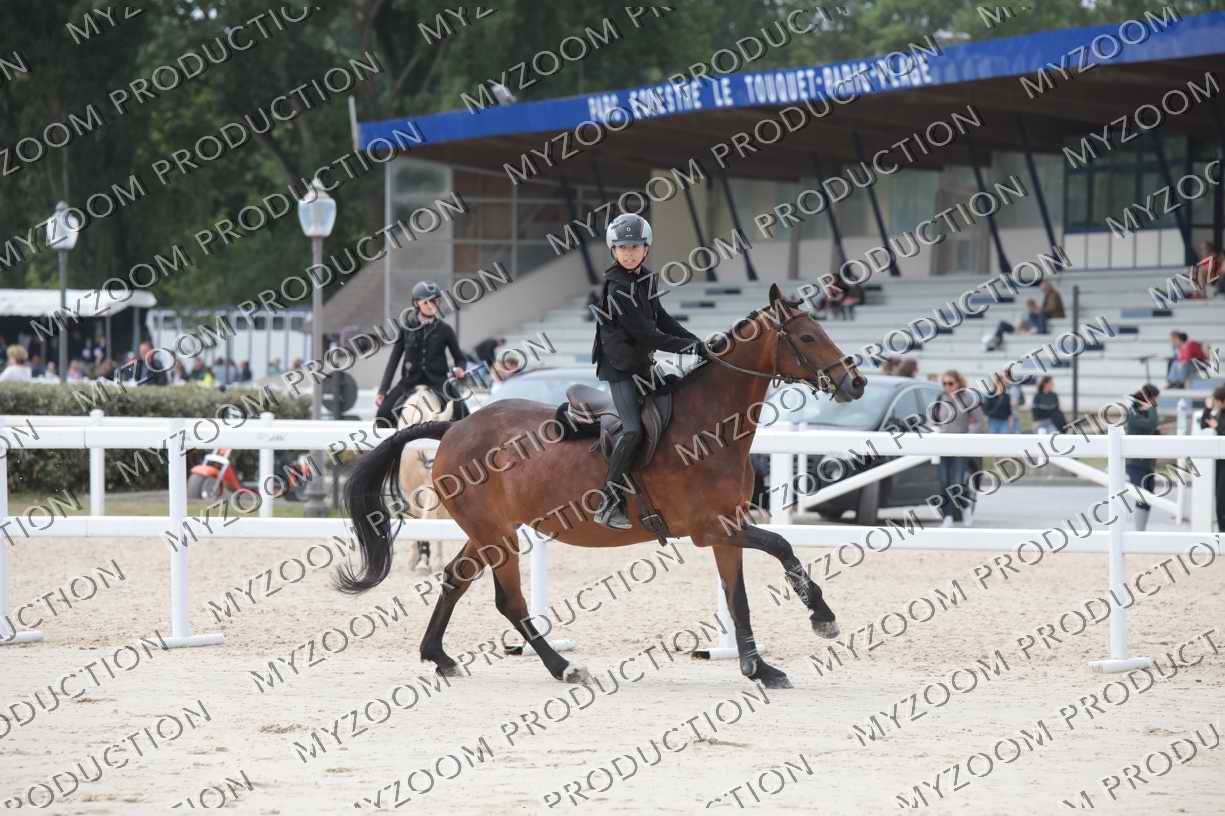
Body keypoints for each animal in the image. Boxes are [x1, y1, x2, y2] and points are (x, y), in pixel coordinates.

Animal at [395, 385, 454, 572]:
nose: (434, 466)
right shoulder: (410, 490)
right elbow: (418, 518)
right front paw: (417, 559)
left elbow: (429, 517)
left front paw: (426, 560)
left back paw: (438, 560)